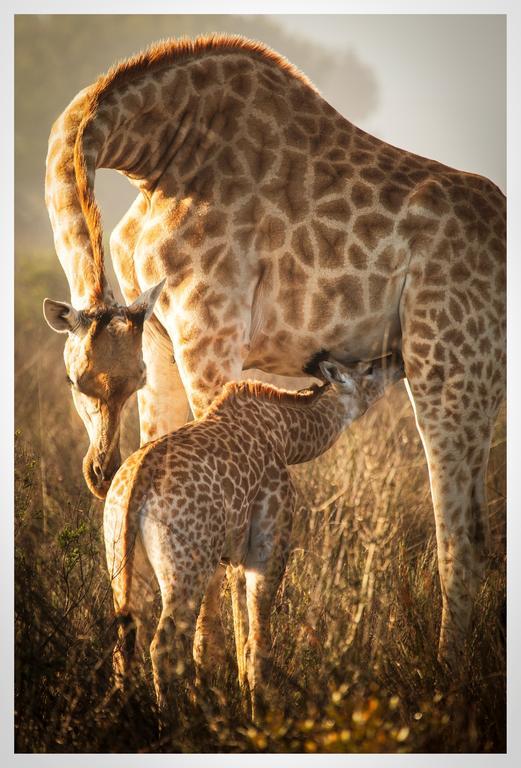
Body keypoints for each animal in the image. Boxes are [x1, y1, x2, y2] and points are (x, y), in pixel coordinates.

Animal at [42, 34, 506, 664]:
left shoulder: (210, 331)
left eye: (119, 380)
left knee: (458, 531)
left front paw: (215, 674)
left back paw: (445, 675)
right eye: (76, 381)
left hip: (448, 360)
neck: (155, 158)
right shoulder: (161, 340)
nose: (98, 471)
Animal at [101, 354, 402, 720]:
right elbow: (258, 646)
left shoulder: (236, 559)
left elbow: (241, 639)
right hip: (186, 570)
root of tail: (135, 488)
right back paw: (175, 723)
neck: (286, 436)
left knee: (125, 640)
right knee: (163, 645)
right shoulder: (268, 549)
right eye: (369, 369)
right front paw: (261, 719)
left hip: (122, 563)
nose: (397, 362)